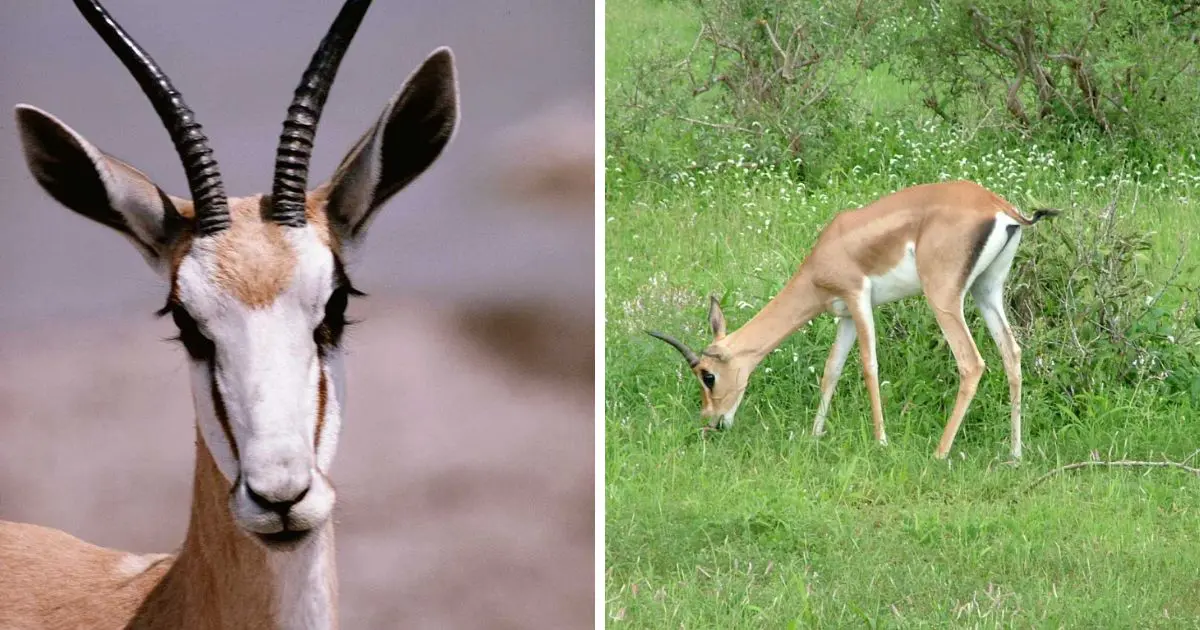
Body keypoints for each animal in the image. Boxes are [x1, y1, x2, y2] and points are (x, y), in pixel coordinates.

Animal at [649, 181, 1057, 460]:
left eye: (708, 376)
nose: (712, 421)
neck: (824, 255)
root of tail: (1001, 209)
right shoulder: (843, 314)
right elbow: (831, 369)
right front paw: (814, 435)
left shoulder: (859, 298)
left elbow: (868, 366)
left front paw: (881, 442)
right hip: (987, 291)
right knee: (1012, 354)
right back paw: (1015, 454)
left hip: (943, 298)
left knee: (971, 363)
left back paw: (940, 453)